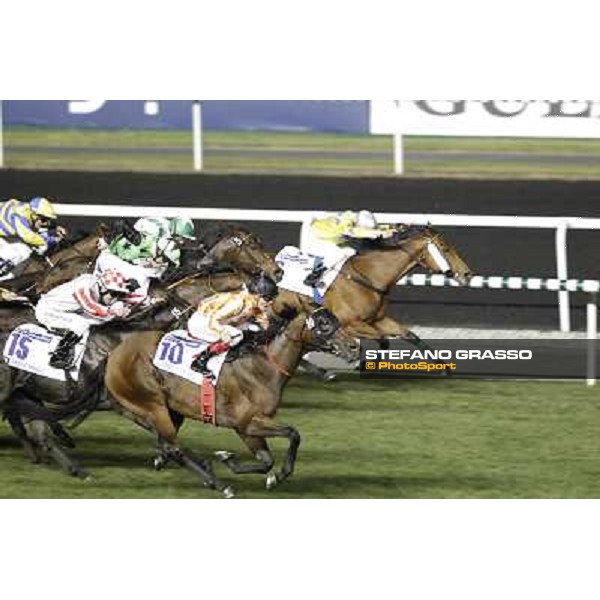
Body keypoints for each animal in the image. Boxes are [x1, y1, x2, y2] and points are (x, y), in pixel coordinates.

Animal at [102, 308, 358, 500]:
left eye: (335, 320)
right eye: (324, 325)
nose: (355, 346)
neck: (264, 366)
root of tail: (115, 354)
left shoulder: (247, 429)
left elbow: (266, 461)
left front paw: (239, 463)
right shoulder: (247, 423)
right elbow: (293, 434)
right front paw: (272, 473)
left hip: (172, 410)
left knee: (167, 445)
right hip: (152, 404)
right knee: (173, 447)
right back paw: (218, 483)